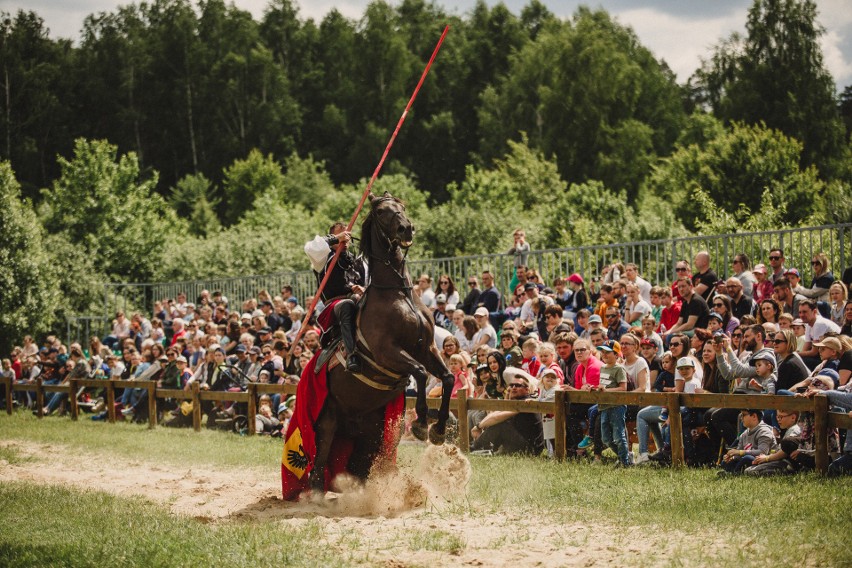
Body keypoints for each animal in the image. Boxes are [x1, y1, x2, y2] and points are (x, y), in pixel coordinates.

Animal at [310, 192, 456, 492]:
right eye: (381, 211)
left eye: (402, 207)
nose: (406, 228)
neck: (397, 294)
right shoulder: (389, 352)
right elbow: (421, 374)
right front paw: (422, 423)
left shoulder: (427, 348)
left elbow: (447, 378)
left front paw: (438, 429)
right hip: (328, 422)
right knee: (319, 462)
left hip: (371, 430)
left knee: (360, 464)